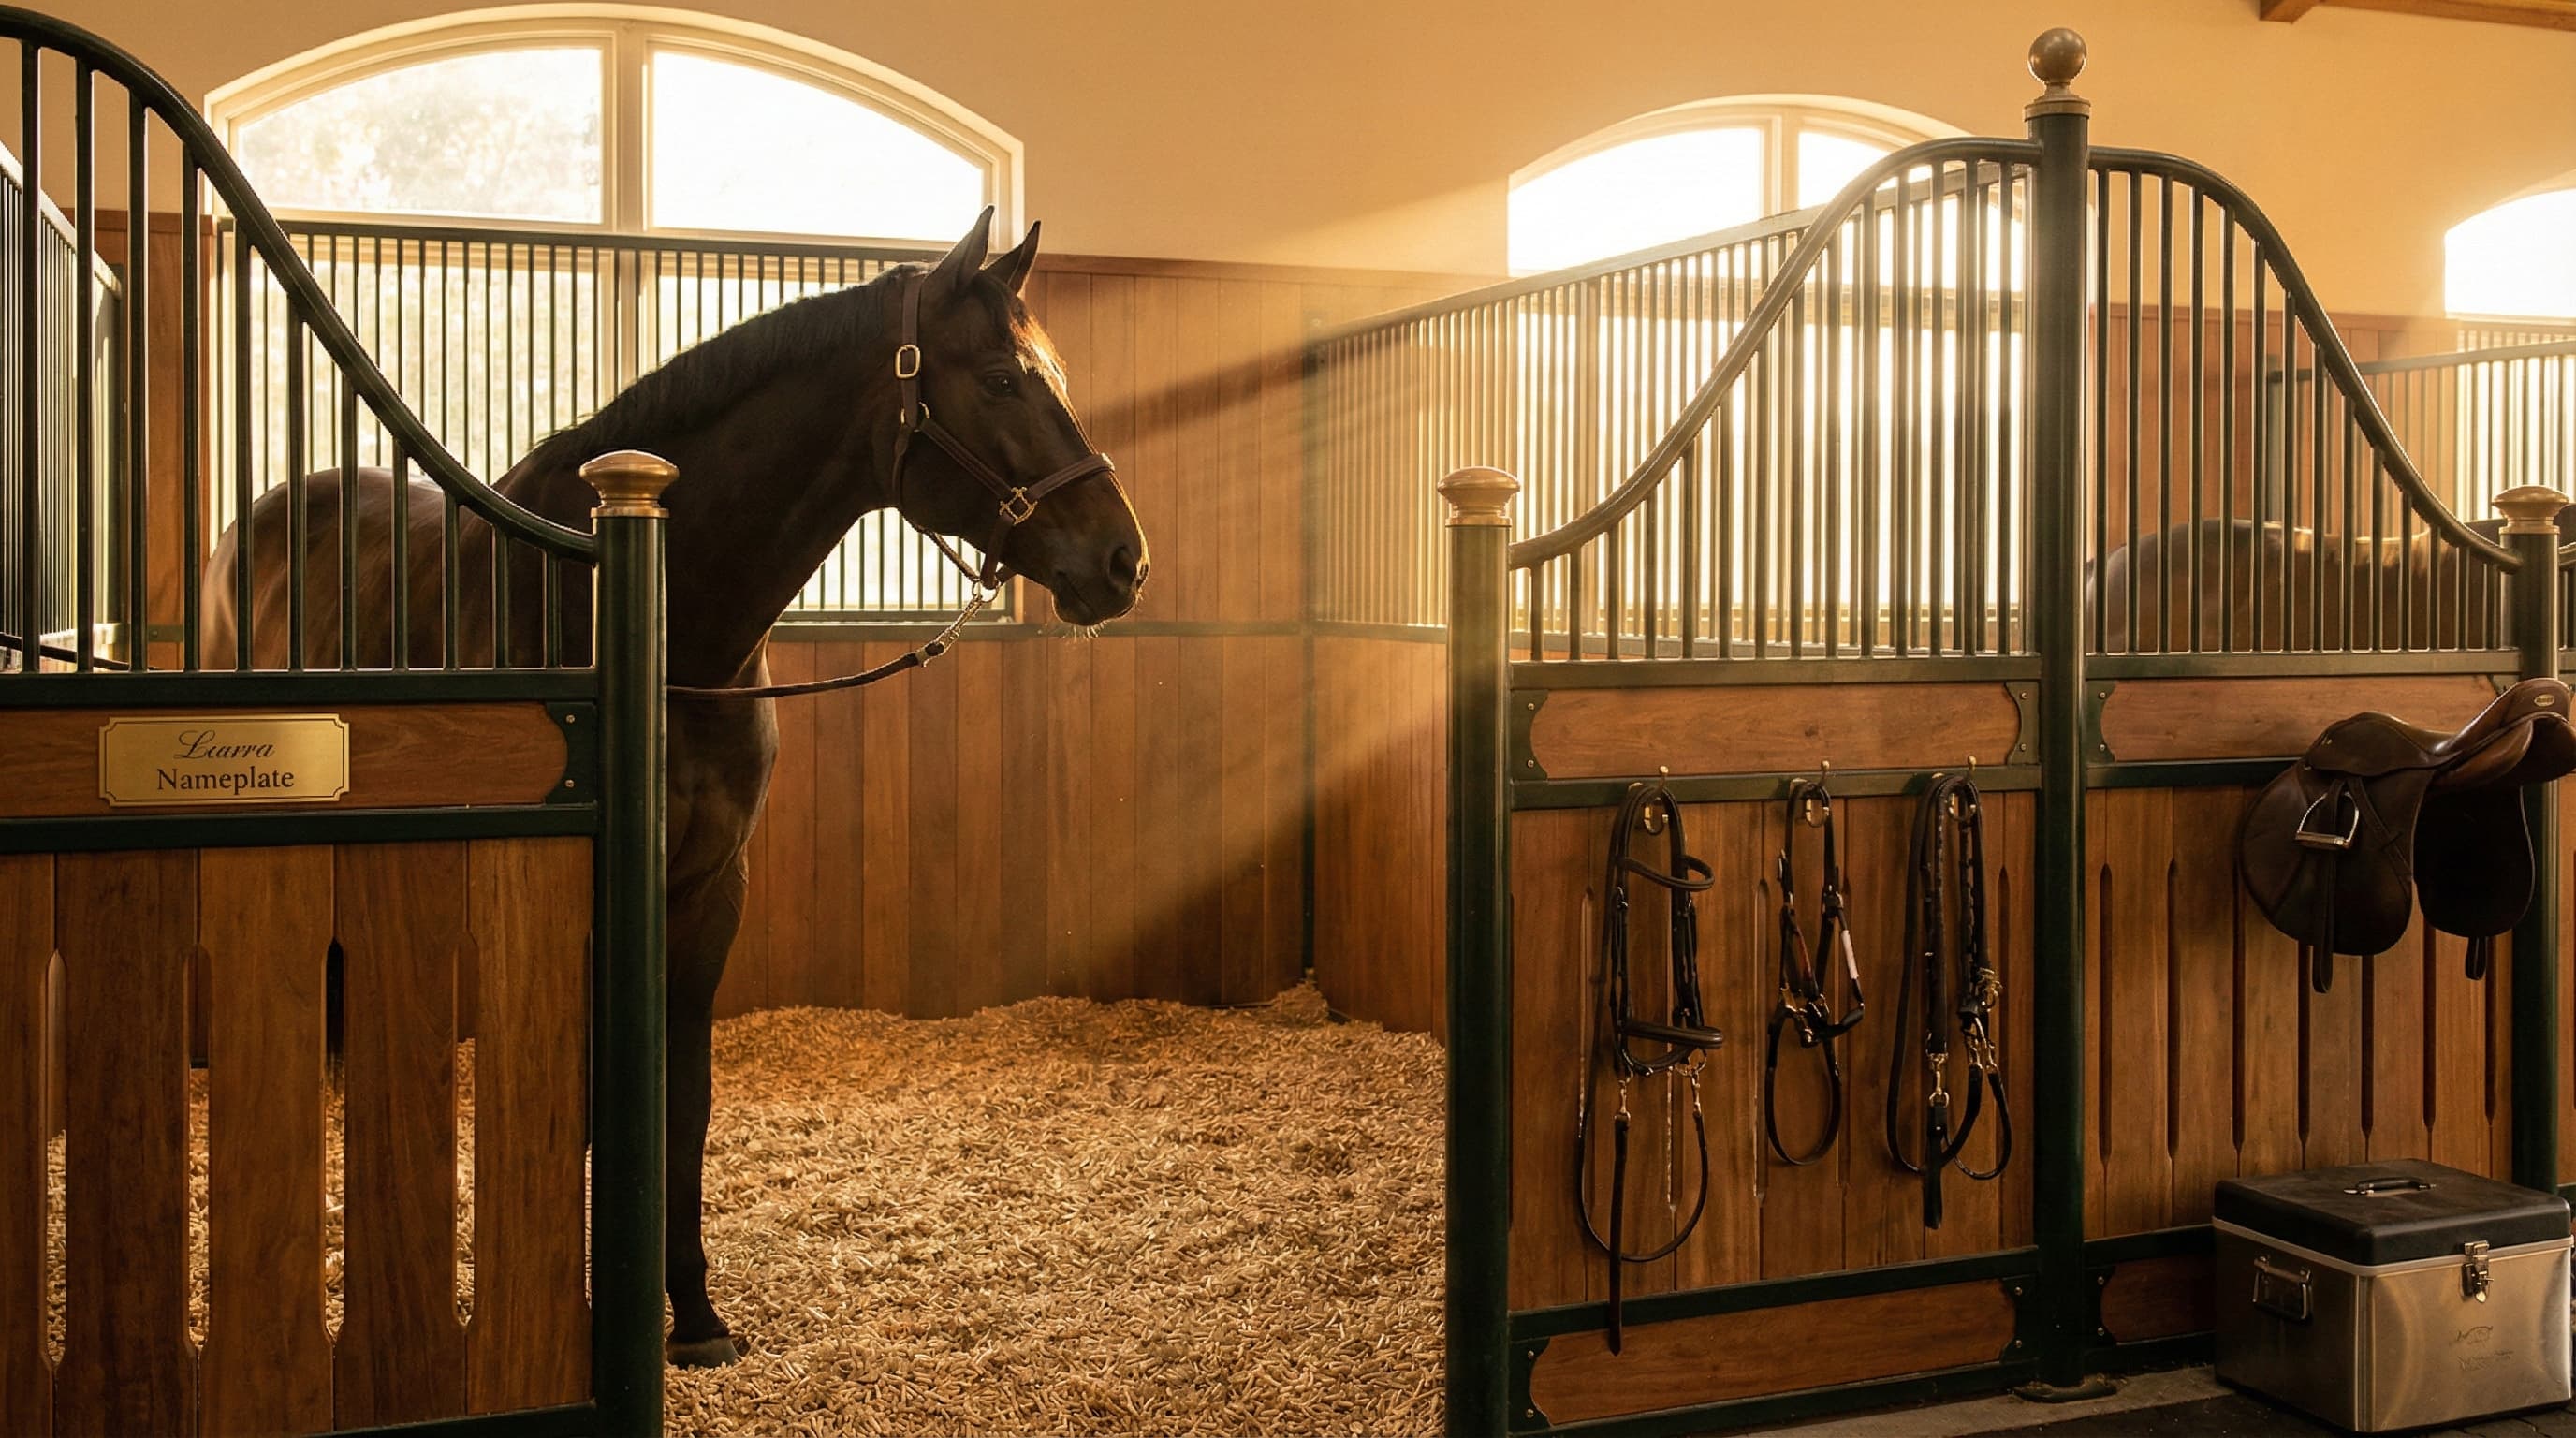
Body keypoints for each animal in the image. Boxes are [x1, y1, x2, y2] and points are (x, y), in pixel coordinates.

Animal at [201, 211, 1149, 1366]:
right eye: (1007, 380)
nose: (1124, 561)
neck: (661, 627)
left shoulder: (707, 890)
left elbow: (683, 1100)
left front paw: (690, 1315)